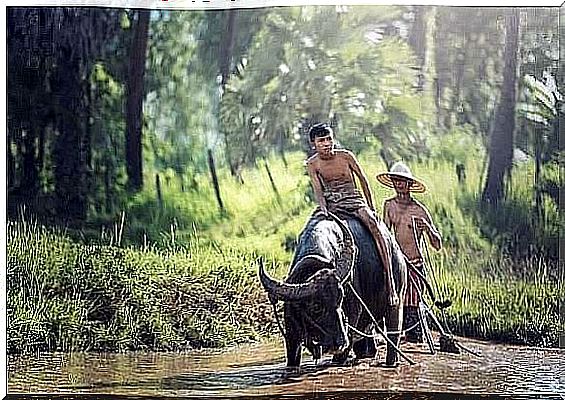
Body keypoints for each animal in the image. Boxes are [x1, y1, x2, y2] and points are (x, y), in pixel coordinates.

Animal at [258, 212, 408, 366]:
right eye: (316, 307)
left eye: (340, 299)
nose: (340, 342)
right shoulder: (291, 337)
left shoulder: (351, 326)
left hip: (396, 304)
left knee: (393, 336)